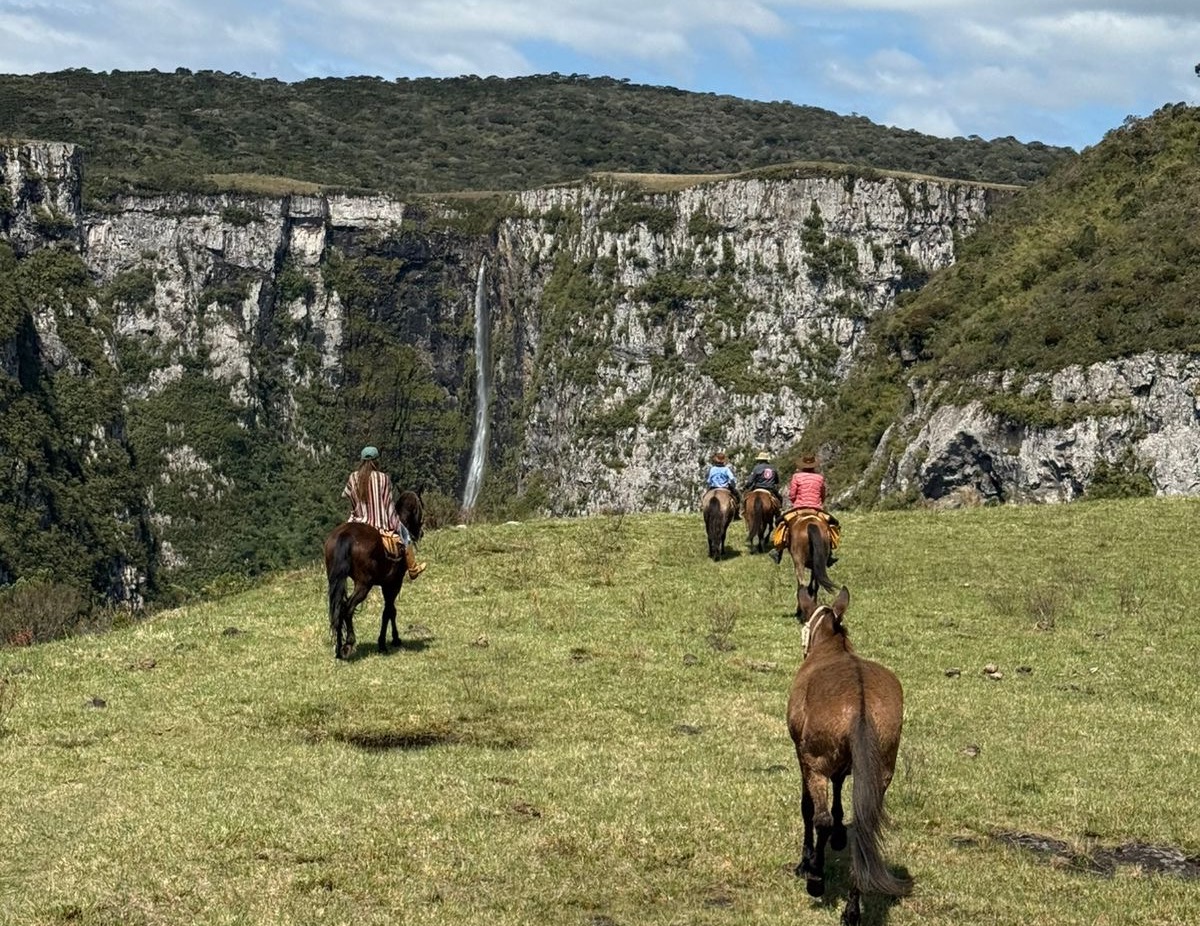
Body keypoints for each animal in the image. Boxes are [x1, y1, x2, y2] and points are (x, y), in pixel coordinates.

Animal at [323, 501, 422, 660]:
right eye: (420, 507)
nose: (421, 532)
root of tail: (345, 535)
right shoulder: (394, 583)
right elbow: (389, 611)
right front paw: (387, 642)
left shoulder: (386, 584)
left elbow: (390, 610)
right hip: (364, 585)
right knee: (347, 608)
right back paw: (349, 643)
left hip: (335, 580)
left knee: (337, 608)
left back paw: (338, 649)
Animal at [788, 586, 911, 926]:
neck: (832, 649)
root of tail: (860, 702)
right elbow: (841, 790)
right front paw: (841, 836)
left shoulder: (804, 759)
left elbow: (809, 809)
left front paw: (806, 863)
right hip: (880, 773)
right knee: (864, 825)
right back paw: (852, 909)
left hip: (815, 765)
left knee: (821, 818)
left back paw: (816, 879)